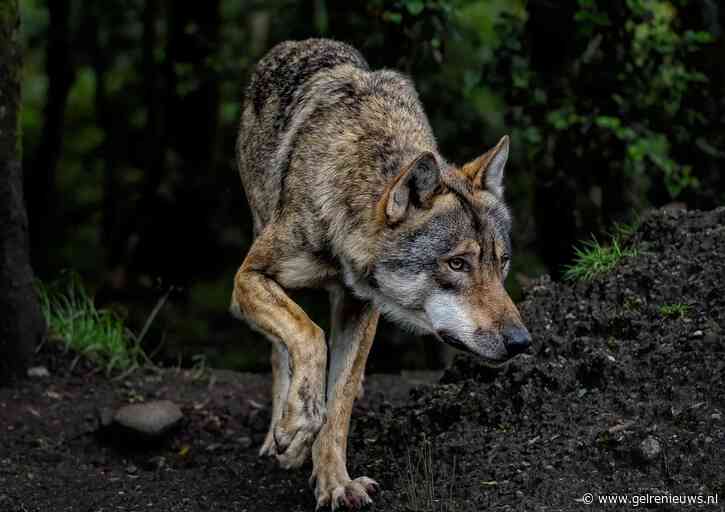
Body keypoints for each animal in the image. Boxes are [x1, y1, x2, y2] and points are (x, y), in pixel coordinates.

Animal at [230, 38, 531, 510]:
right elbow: (308, 335)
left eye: (500, 263)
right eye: (457, 264)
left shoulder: (361, 307)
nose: (521, 342)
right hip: (258, 236)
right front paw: (297, 425)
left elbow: (339, 403)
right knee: (281, 350)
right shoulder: (248, 277)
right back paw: (282, 432)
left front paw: (335, 483)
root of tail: (294, 45)